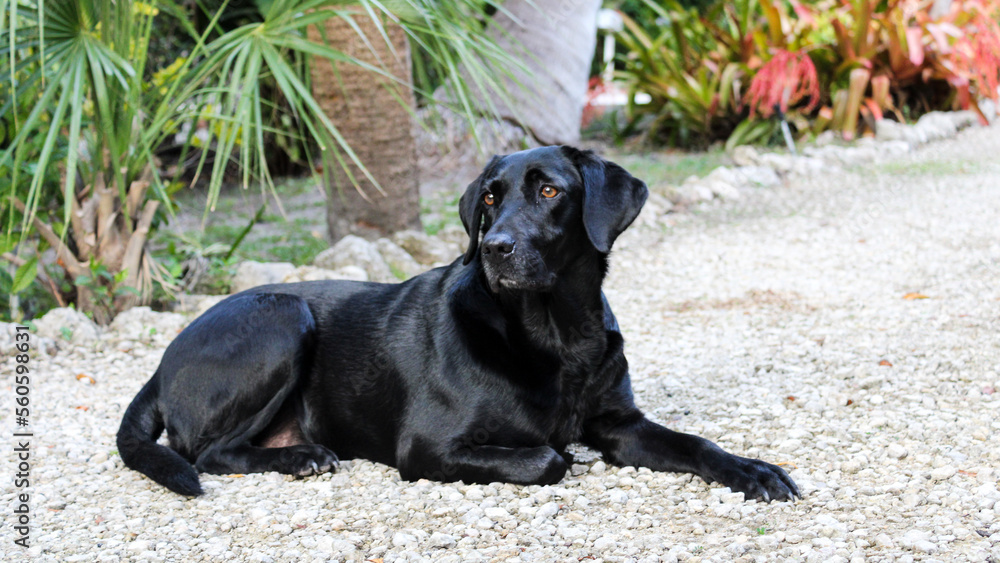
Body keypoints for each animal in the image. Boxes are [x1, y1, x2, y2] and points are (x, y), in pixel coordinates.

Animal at [117, 145, 800, 502]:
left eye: (550, 191)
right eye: (491, 196)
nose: (495, 248)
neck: (556, 334)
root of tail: (162, 360)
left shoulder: (621, 425)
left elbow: (696, 444)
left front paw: (754, 471)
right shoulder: (428, 447)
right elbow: (547, 457)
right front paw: (557, 451)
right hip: (285, 316)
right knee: (207, 452)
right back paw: (302, 457)